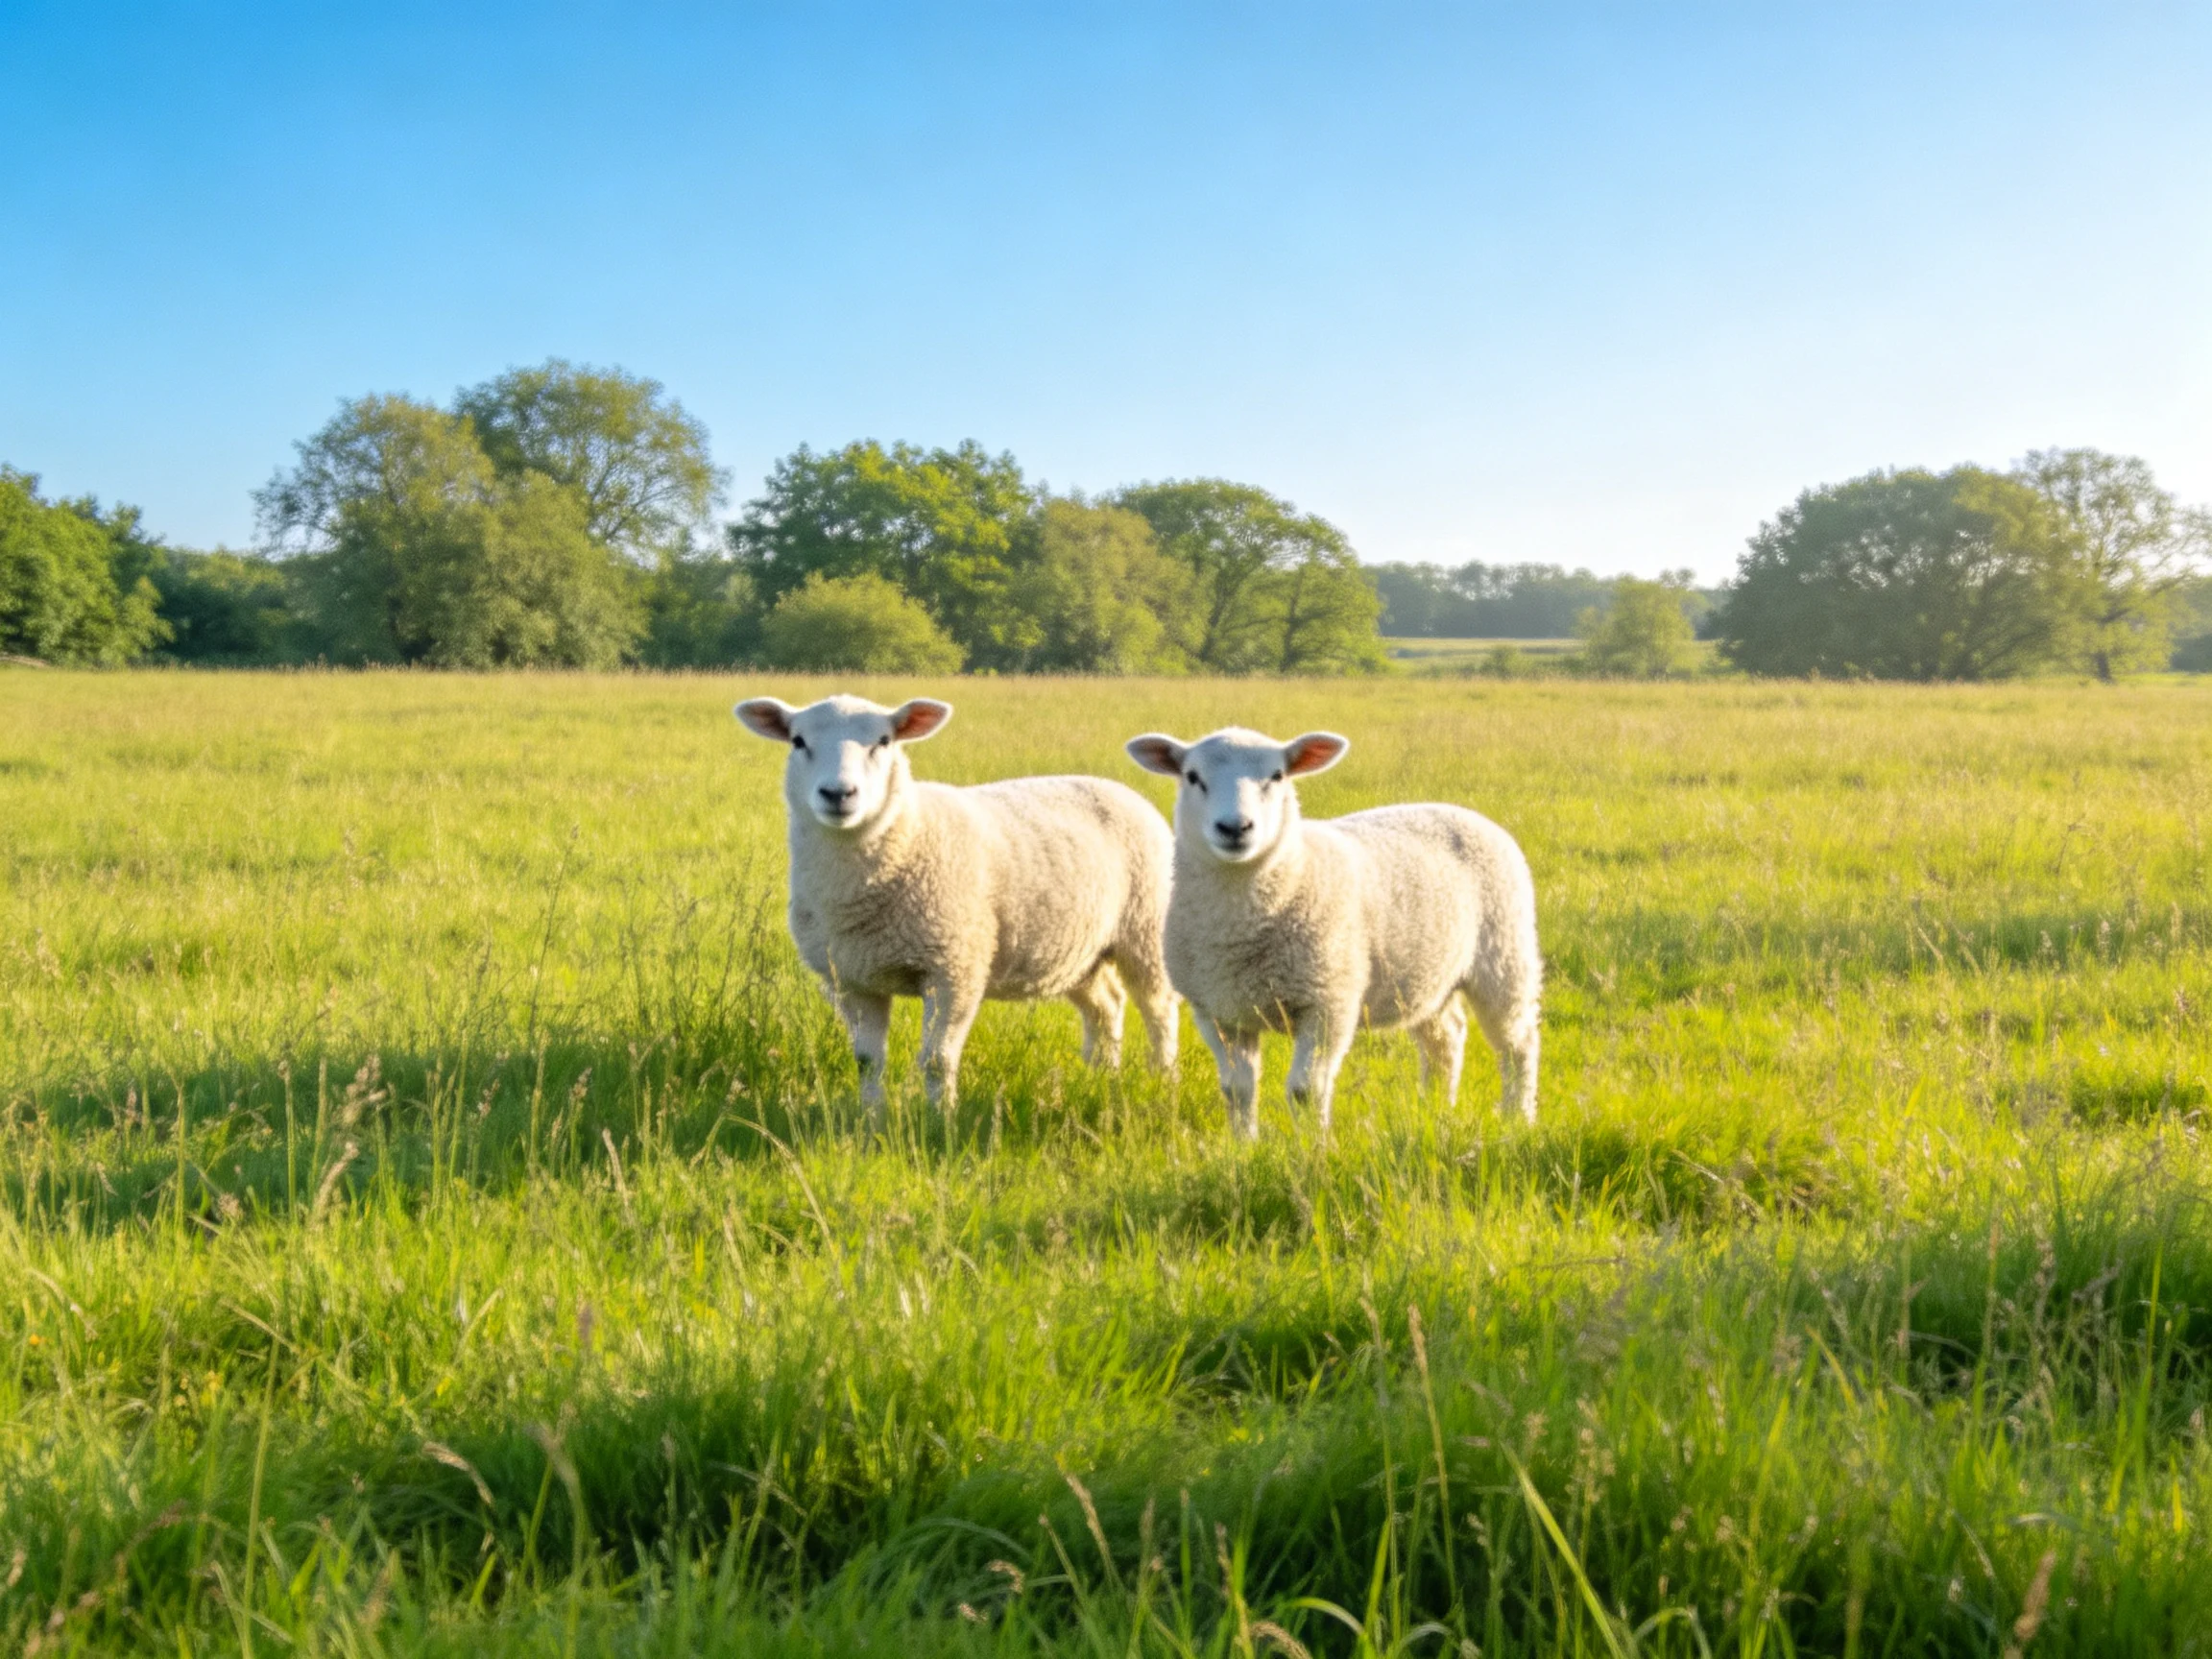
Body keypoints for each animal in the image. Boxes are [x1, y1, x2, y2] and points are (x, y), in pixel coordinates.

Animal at [736, 693, 1178, 1121]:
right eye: (798, 741)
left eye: (884, 741)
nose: (838, 794)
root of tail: (1118, 788)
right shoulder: (851, 979)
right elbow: (867, 1061)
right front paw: (870, 1118)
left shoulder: (954, 969)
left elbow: (936, 1059)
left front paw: (941, 1121)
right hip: (1078, 951)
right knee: (1106, 1005)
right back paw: (1101, 1076)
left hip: (1146, 930)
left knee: (1159, 1008)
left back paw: (1162, 1079)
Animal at [1124, 725, 1540, 1139]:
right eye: (1193, 777)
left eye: (1277, 776)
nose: (1235, 828)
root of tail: (1462, 811)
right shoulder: (1218, 1011)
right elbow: (1237, 1089)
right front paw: (1243, 1144)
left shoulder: (1328, 1001)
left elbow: (1306, 1090)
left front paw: (1314, 1147)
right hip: (1425, 975)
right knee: (1445, 1038)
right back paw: (1435, 1108)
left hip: (1505, 956)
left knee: (1518, 1044)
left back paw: (1517, 1117)